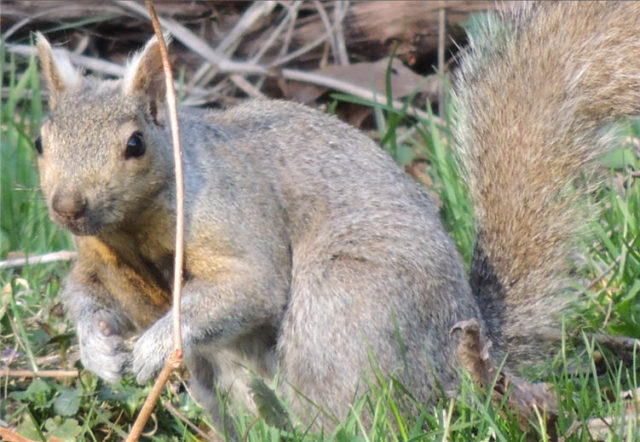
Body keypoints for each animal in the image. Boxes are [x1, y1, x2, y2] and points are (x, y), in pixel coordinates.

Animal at [32, 0, 640, 432]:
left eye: (135, 144)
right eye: (40, 141)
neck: (130, 231)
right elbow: (86, 297)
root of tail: (466, 351)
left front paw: (154, 346)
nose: (68, 206)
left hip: (344, 307)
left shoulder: (236, 215)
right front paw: (99, 351)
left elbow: (247, 288)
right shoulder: (98, 263)